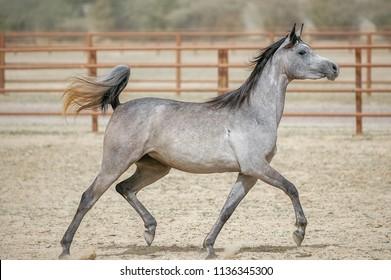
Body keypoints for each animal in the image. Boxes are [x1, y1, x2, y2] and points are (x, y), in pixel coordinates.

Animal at [59, 24, 338, 258]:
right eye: (302, 51)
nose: (334, 68)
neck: (255, 113)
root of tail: (120, 107)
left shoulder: (248, 173)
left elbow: (227, 209)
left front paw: (209, 247)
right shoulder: (257, 166)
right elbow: (291, 187)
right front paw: (299, 232)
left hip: (154, 167)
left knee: (125, 188)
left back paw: (150, 231)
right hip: (116, 162)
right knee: (89, 197)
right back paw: (65, 248)